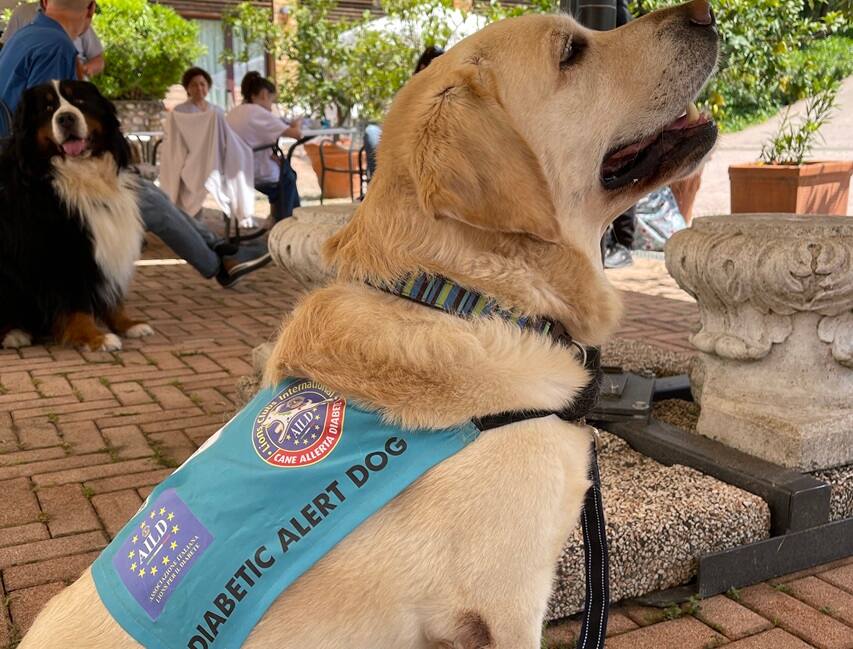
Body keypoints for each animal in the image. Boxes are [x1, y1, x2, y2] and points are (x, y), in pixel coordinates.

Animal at [0, 81, 151, 354]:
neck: (79, 172)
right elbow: (76, 303)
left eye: (80, 101)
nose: (66, 118)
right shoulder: (62, 252)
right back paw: (14, 333)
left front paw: (128, 324)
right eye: (48, 108)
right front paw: (96, 337)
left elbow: (113, 295)